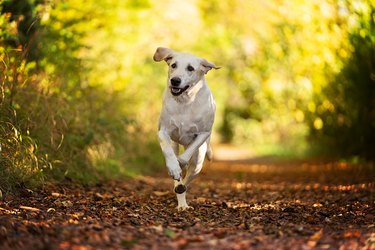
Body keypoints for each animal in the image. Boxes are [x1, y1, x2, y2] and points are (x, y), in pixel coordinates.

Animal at [153, 47, 220, 211]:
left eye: (190, 68)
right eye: (173, 65)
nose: (175, 80)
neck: (185, 101)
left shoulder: (203, 134)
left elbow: (186, 155)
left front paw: (180, 163)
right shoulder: (163, 131)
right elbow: (168, 152)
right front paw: (174, 167)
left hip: (198, 161)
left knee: (188, 178)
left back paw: (181, 190)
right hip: (175, 144)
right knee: (179, 178)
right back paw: (181, 200)